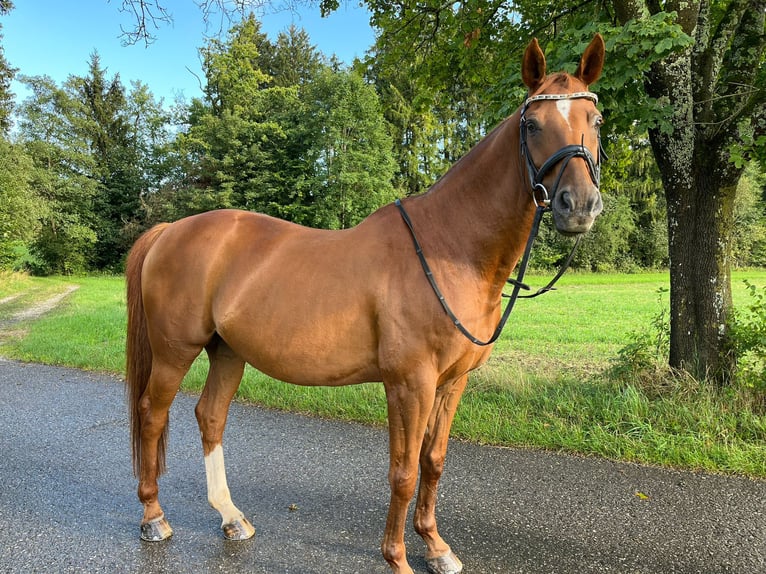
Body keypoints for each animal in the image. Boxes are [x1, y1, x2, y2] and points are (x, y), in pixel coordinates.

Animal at [124, 36, 608, 574]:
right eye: (532, 124)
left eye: (595, 119)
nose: (578, 206)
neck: (449, 246)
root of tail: (171, 230)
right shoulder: (409, 384)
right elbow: (402, 471)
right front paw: (397, 558)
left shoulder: (451, 383)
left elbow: (432, 462)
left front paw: (436, 546)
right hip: (175, 352)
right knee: (151, 414)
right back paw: (153, 517)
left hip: (228, 351)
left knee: (210, 417)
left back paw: (231, 518)